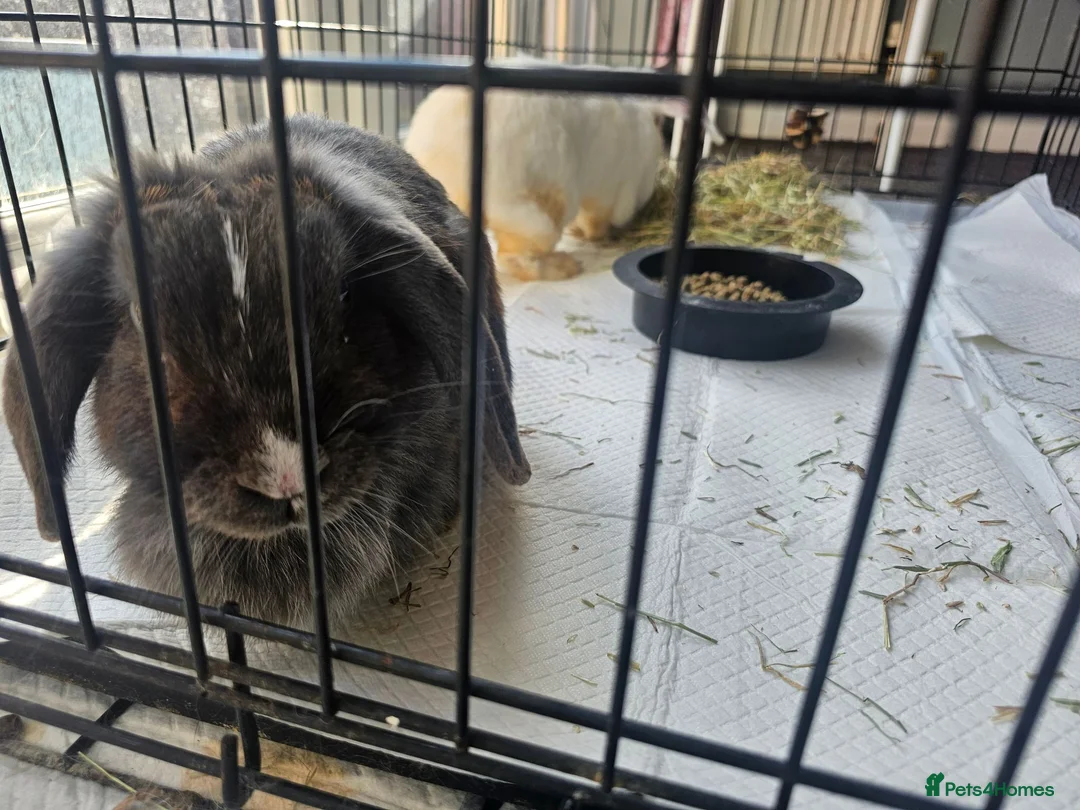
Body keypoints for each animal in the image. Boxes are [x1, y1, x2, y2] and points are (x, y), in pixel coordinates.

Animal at [403, 56, 720, 283]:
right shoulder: (610, 190)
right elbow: (597, 218)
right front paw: (594, 235)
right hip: (539, 210)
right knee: (515, 256)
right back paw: (566, 267)